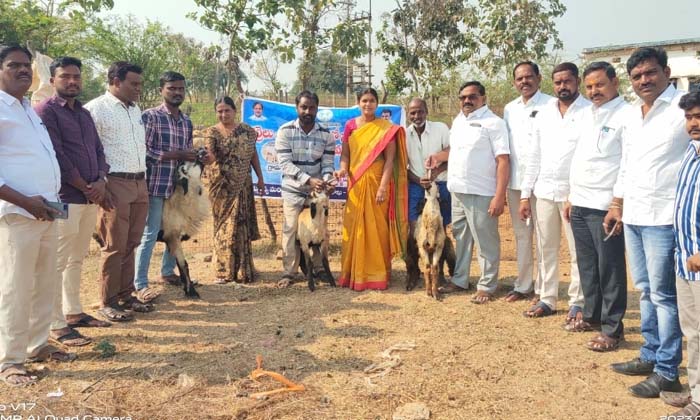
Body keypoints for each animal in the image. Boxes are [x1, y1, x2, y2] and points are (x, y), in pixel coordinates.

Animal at [159, 151, 211, 298]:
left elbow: (178, 263)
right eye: (184, 167)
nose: (202, 151)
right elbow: (184, 264)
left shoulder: (173, 239)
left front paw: (185, 284)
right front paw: (191, 291)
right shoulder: (173, 236)